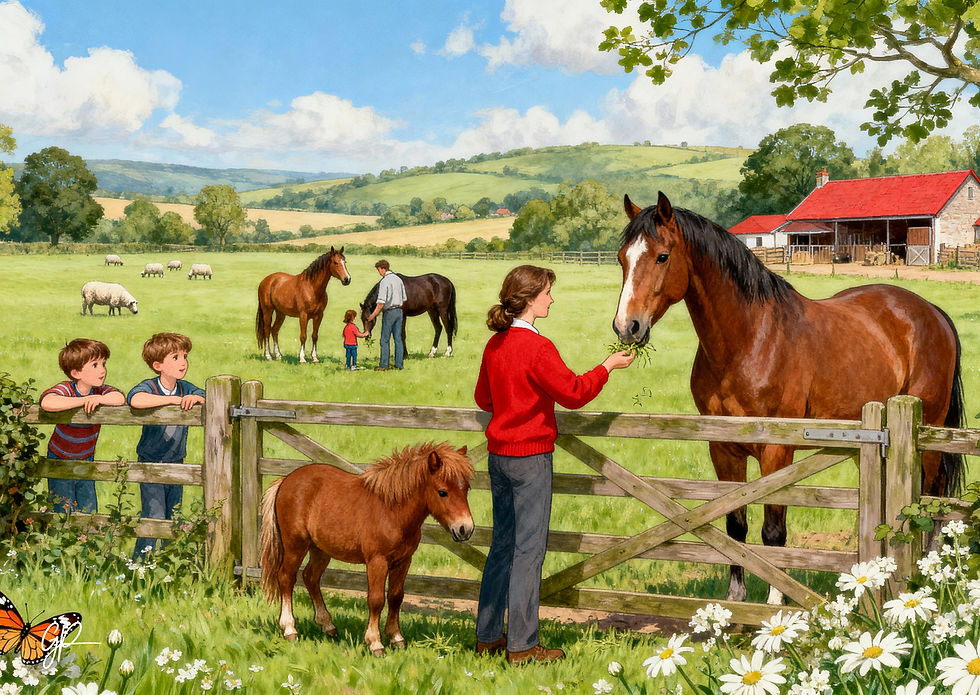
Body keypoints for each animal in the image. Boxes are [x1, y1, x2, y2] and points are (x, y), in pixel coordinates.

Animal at [259, 442, 474, 655]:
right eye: (442, 492)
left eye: (466, 489)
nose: (465, 529)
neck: (391, 511)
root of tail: (286, 480)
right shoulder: (377, 562)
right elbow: (376, 600)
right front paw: (375, 643)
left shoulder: (403, 561)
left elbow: (396, 597)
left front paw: (396, 638)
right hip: (295, 546)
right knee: (286, 577)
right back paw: (289, 629)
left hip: (320, 549)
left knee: (310, 578)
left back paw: (328, 626)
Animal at [613, 192, 965, 604]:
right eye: (622, 257)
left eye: (662, 256)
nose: (626, 327)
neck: (751, 339)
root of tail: (931, 312)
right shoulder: (723, 448)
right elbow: (735, 525)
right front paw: (734, 602)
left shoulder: (777, 451)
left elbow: (773, 531)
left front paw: (775, 605)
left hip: (930, 431)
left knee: (932, 496)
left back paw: (928, 571)